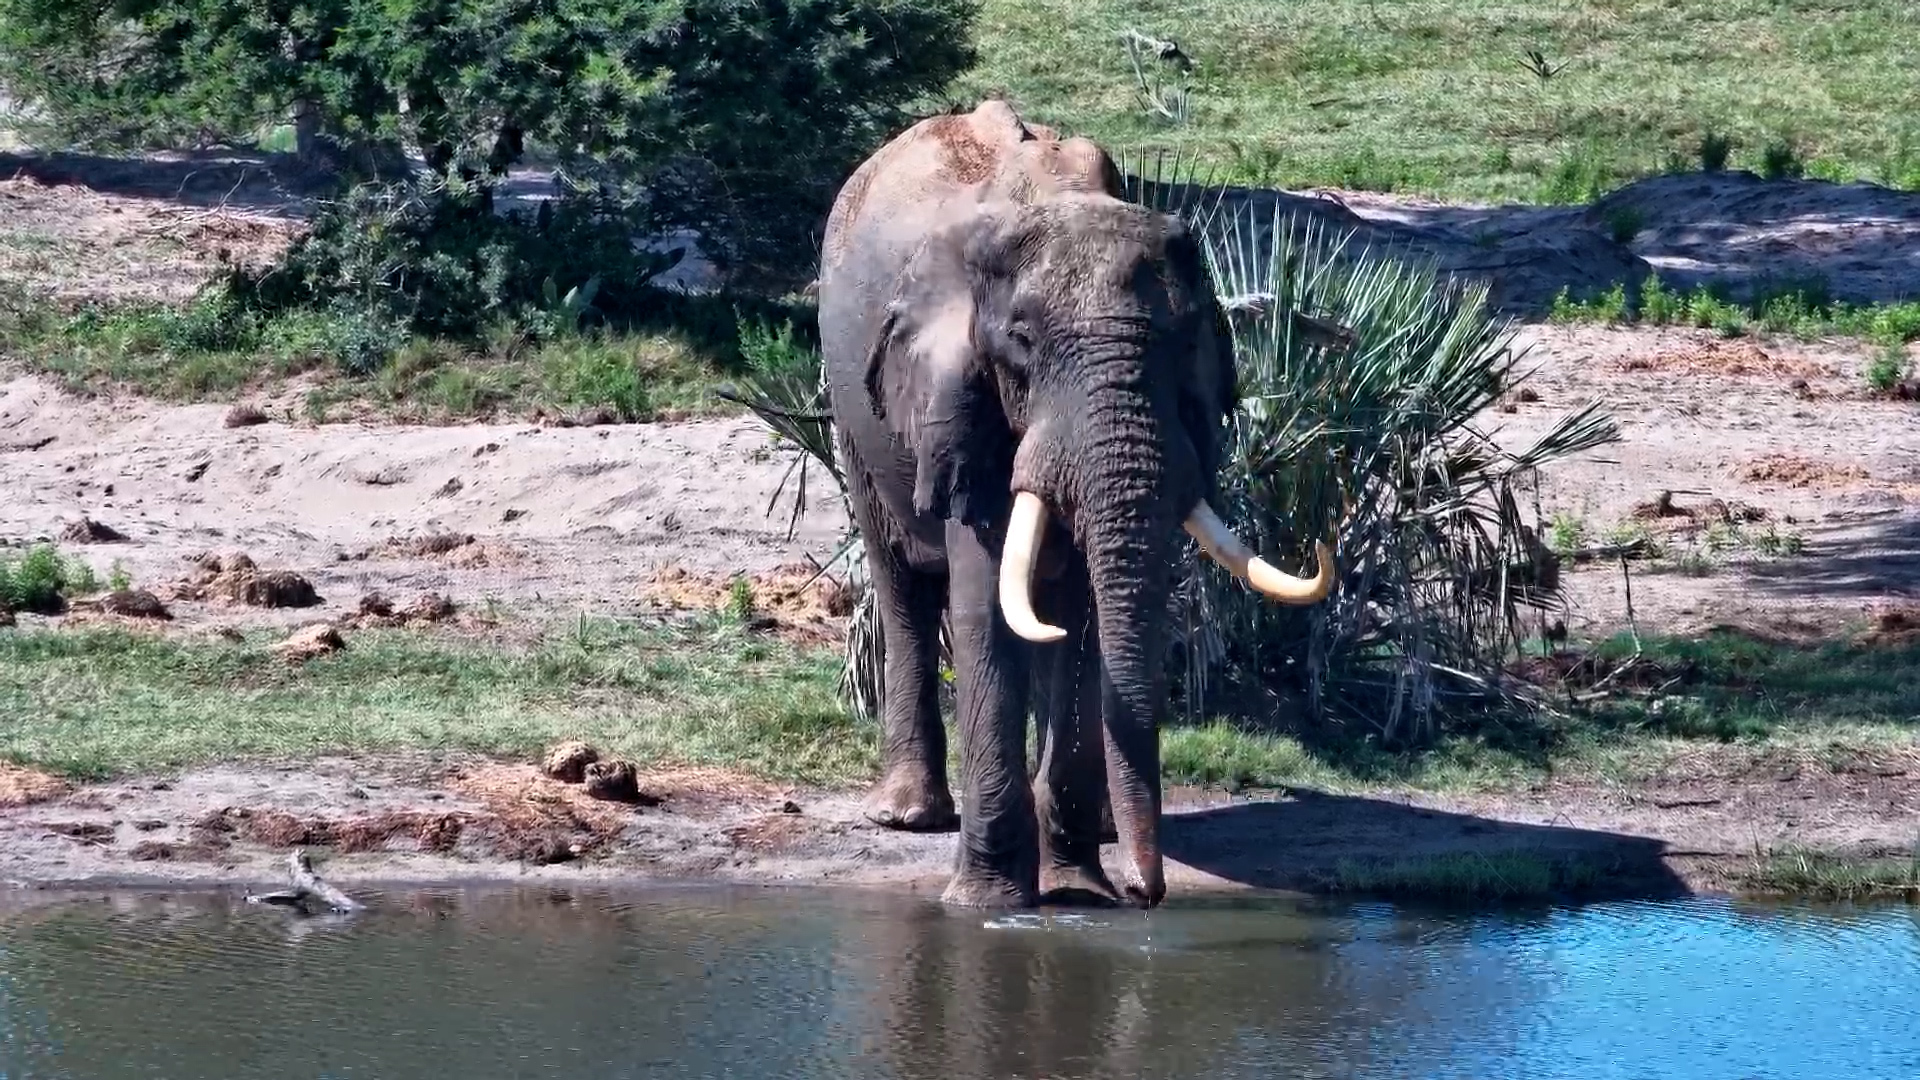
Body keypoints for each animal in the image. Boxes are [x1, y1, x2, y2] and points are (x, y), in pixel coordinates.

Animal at [817, 99, 1335, 909]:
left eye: (1185, 343)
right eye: (1022, 344)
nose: (1146, 894)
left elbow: (1083, 619)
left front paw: (1078, 894)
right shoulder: (959, 399)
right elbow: (987, 602)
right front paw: (989, 905)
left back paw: (1096, 833)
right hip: (851, 408)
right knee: (901, 580)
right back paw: (907, 816)